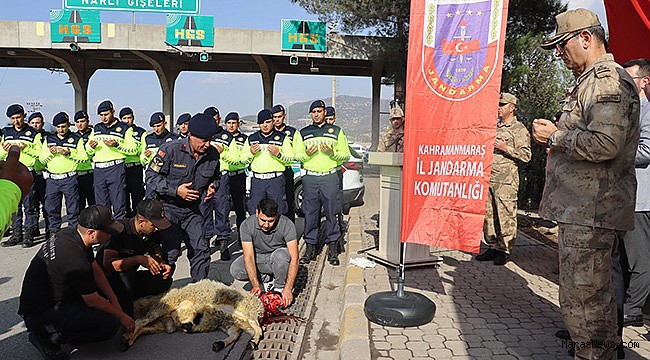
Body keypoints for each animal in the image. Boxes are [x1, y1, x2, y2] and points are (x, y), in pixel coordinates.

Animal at [121, 280, 264, 352]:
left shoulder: (231, 324)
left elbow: (236, 335)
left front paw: (219, 344)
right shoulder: (245, 312)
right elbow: (258, 329)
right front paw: (253, 341)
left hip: (162, 324)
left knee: (143, 327)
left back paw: (127, 340)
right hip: (163, 307)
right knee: (140, 321)